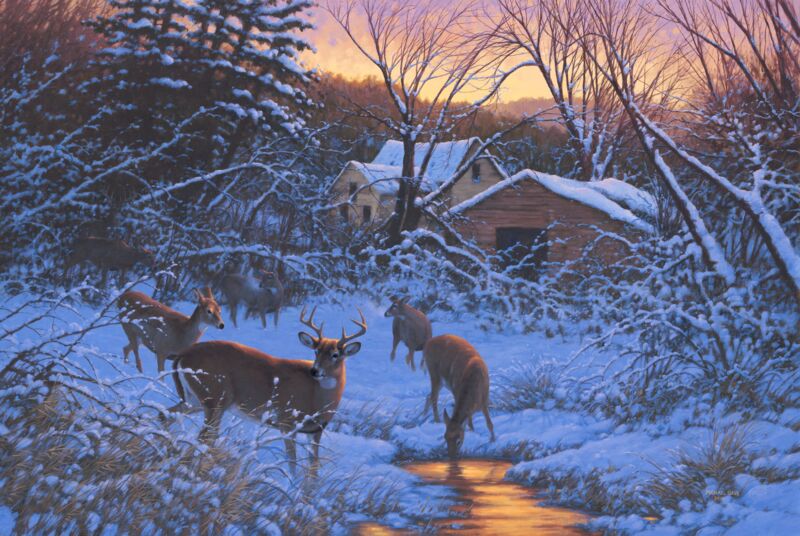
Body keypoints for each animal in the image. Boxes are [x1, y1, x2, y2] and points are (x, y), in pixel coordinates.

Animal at [169, 306, 366, 473]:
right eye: (316, 351)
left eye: (335, 355)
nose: (315, 371)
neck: (316, 399)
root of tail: (182, 355)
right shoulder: (287, 421)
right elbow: (292, 463)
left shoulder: (315, 431)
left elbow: (313, 469)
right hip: (215, 398)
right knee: (203, 438)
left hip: (195, 399)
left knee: (169, 415)